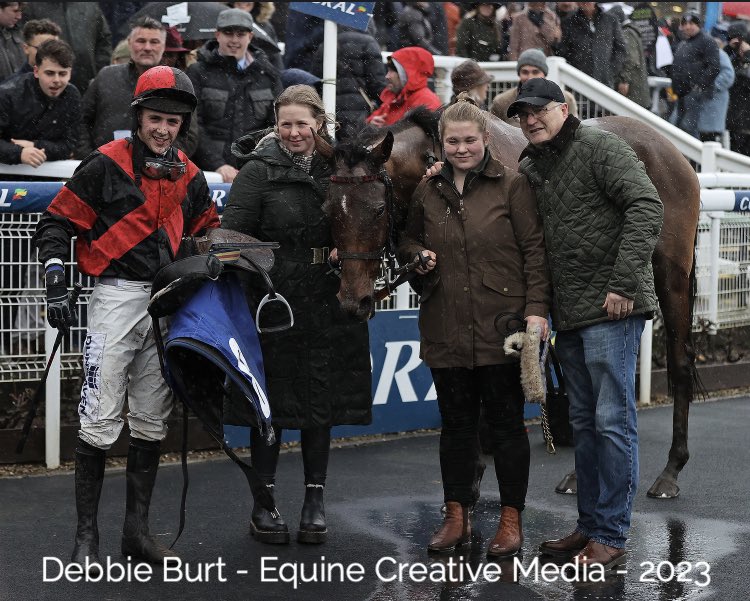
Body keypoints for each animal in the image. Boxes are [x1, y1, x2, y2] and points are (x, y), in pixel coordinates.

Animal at [320, 106, 704, 496]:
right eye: (328, 209)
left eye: (378, 209)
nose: (353, 300)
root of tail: (672, 152)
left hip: (671, 272)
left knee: (677, 362)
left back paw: (671, 468)